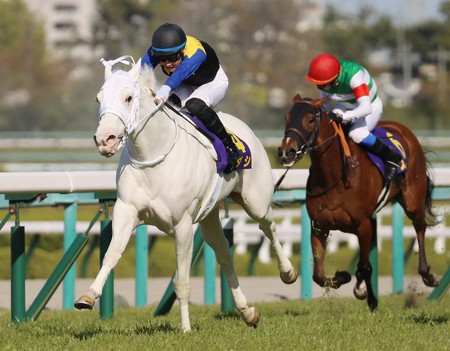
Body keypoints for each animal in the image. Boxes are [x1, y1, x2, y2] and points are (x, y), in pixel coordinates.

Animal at [74, 55, 298, 332]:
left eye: (128, 97)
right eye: (98, 98)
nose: (106, 139)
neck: (153, 157)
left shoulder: (182, 225)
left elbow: (181, 281)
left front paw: (185, 328)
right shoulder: (127, 210)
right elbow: (111, 254)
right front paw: (88, 296)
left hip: (255, 200)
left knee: (269, 227)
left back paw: (288, 272)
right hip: (210, 217)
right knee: (225, 255)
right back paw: (248, 312)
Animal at [278, 94, 440, 310]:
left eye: (310, 119)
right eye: (287, 117)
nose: (286, 151)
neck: (334, 177)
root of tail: (403, 130)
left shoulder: (362, 225)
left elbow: (364, 266)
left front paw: (368, 297)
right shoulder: (319, 226)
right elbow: (318, 275)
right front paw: (343, 277)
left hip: (412, 200)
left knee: (420, 226)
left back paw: (427, 274)